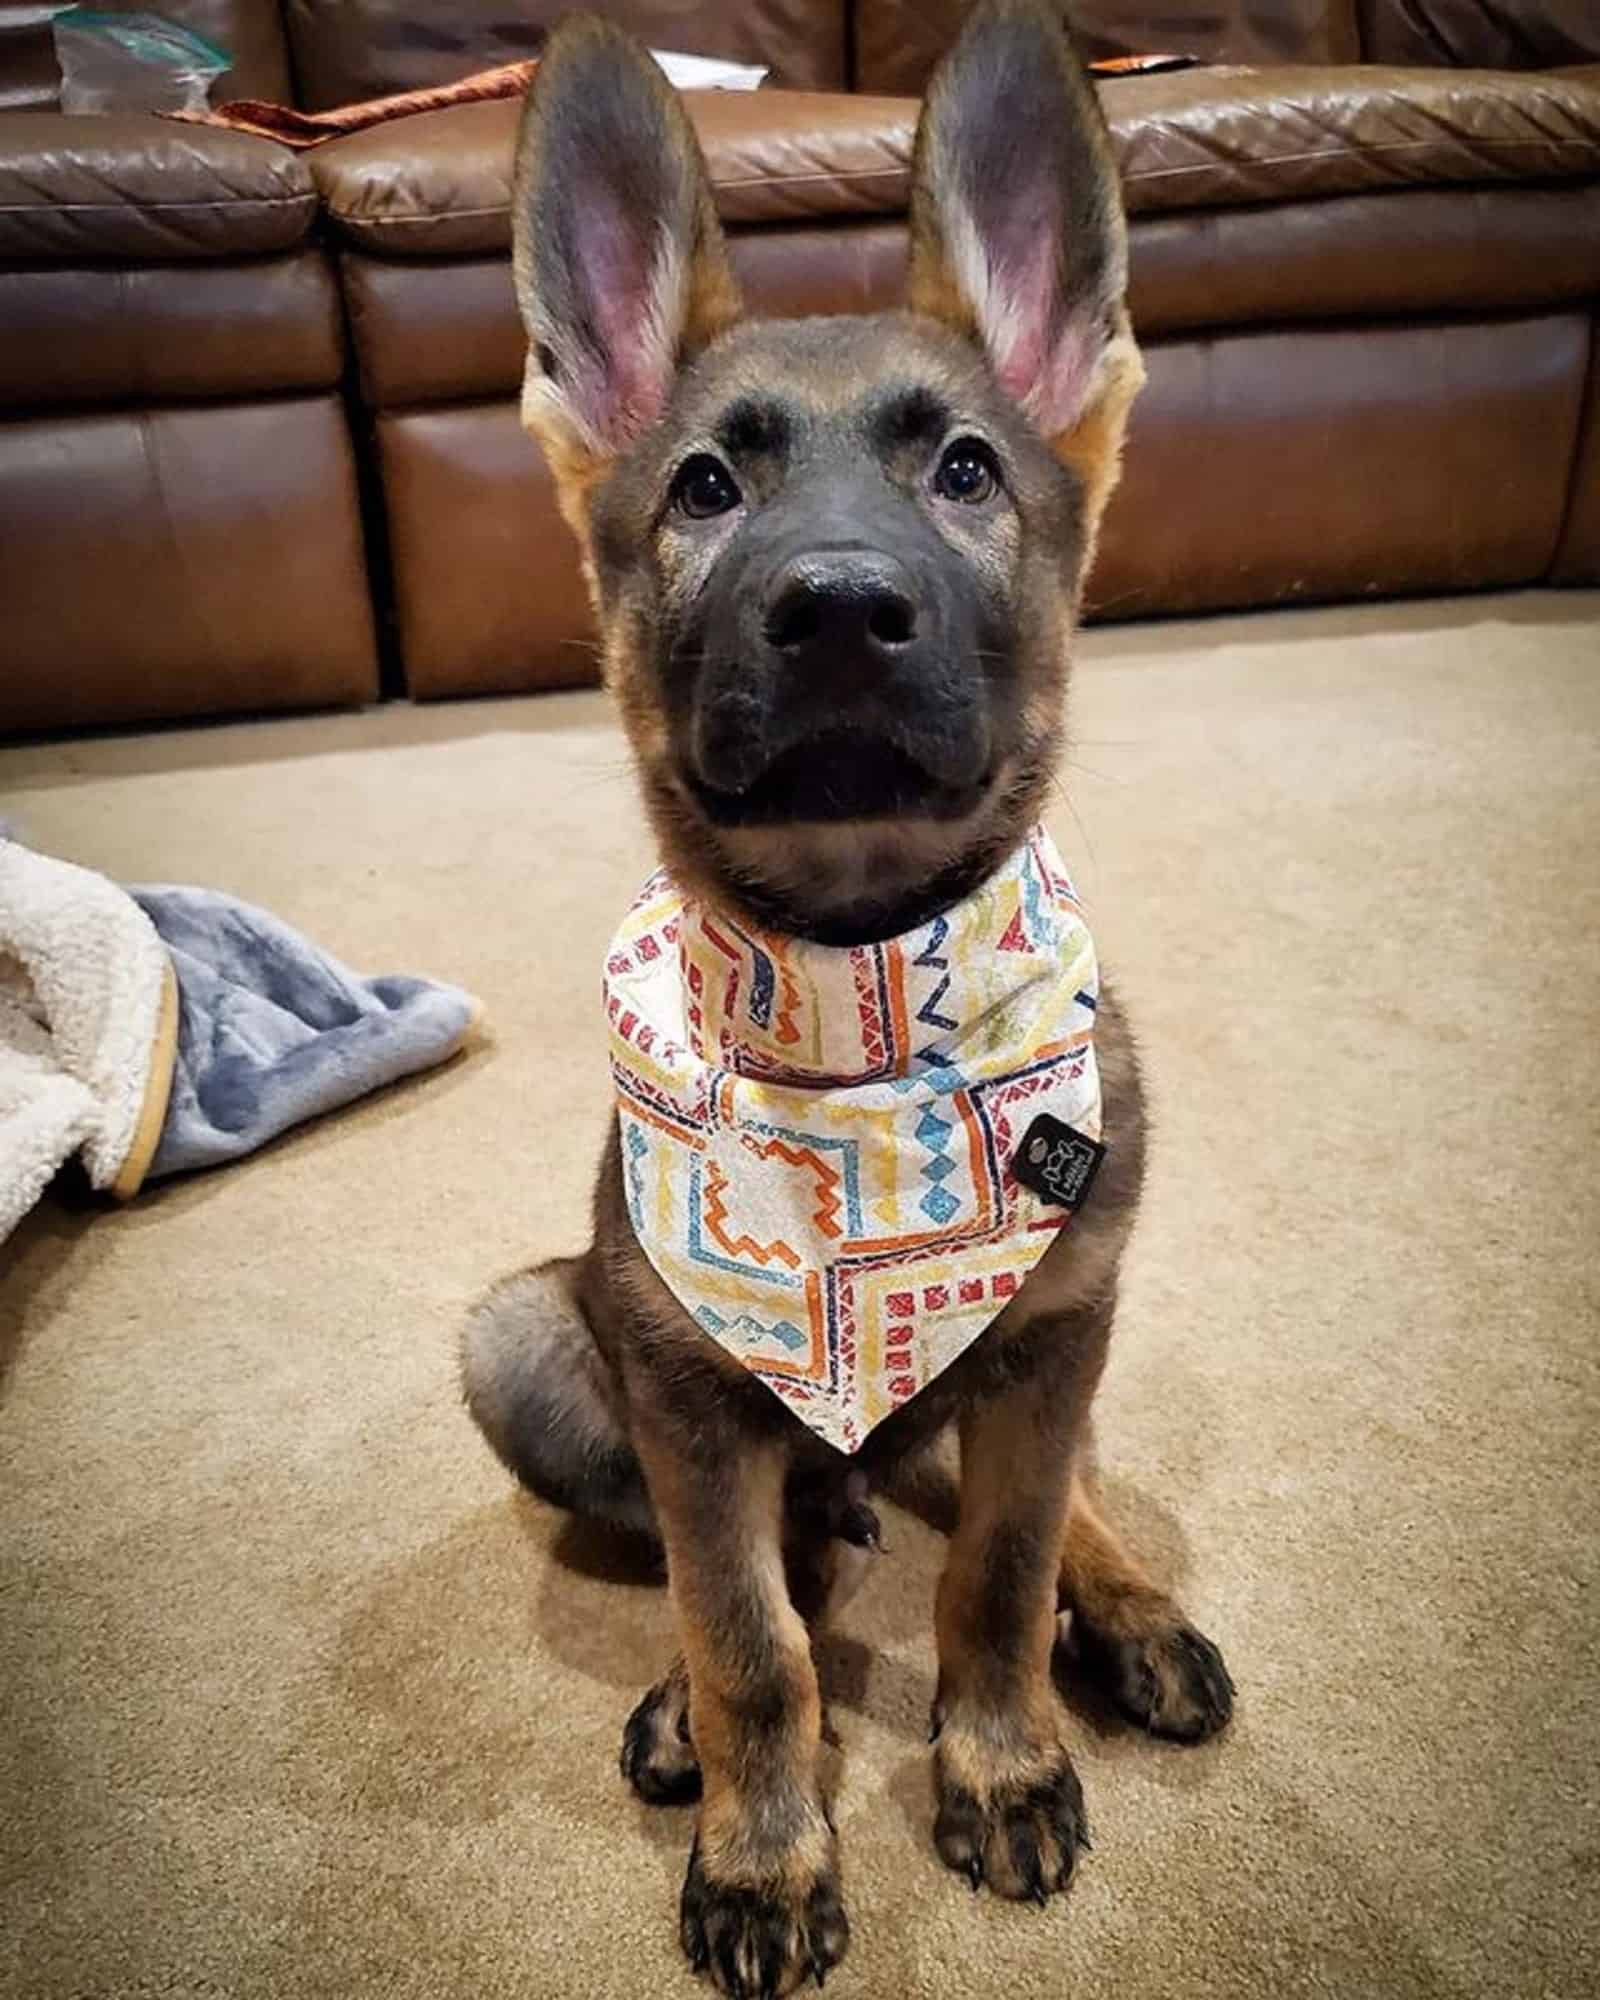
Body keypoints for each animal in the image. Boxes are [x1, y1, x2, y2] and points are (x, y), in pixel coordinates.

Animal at [456, 7, 1232, 1992]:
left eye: (964, 472)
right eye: (703, 491)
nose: (835, 611)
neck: (863, 993)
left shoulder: (1049, 1343)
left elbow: (1001, 1576)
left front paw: (1002, 1755)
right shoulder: (685, 1392)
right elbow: (754, 1640)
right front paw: (763, 1849)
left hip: (1050, 1348)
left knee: (1047, 1506)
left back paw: (1129, 1615)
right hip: (535, 1340)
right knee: (777, 1555)